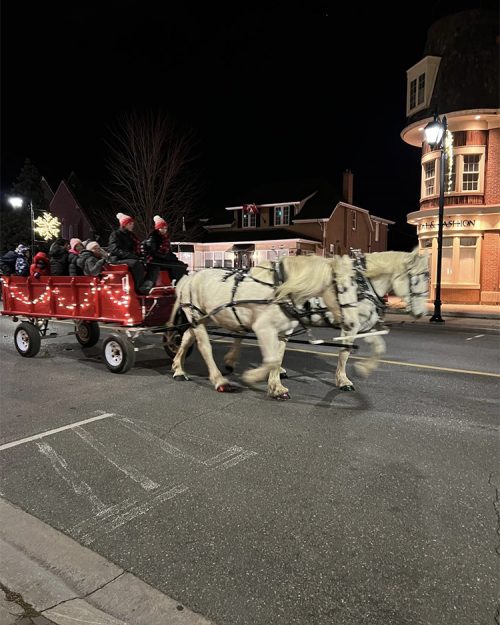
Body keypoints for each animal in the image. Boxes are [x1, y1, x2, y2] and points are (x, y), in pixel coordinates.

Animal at [168, 255, 360, 398]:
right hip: (197, 316)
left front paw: (276, 387)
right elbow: (271, 360)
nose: (353, 323)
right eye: (342, 289)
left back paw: (178, 369)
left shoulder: (283, 332)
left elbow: (277, 359)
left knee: (187, 337)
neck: (282, 289)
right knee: (205, 347)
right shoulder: (264, 329)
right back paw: (220, 380)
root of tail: (189, 278)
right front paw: (251, 377)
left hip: (203, 318)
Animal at [223, 247, 430, 390]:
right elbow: (345, 352)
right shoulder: (350, 326)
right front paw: (343, 380)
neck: (363, 284)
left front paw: (364, 369)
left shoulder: (366, 326)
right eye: (417, 278)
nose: (422, 313)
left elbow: (380, 347)